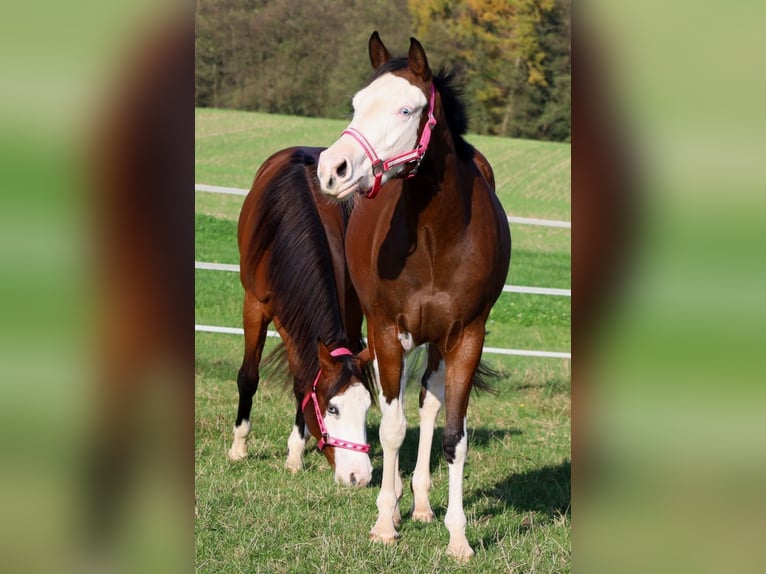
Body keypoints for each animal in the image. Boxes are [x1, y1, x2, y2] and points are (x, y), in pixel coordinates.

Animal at [230, 146, 376, 488]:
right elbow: (249, 377)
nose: (360, 477)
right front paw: (239, 446)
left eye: (366, 407)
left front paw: (295, 455)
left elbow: (303, 384)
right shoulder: (254, 305)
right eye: (332, 409)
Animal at [318, 33, 510, 560]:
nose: (331, 168)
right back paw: (402, 502)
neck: (435, 238)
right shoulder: (386, 330)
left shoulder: (466, 337)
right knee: (401, 406)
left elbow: (453, 435)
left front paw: (458, 537)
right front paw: (385, 522)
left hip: (435, 341)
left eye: (406, 109)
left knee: (427, 403)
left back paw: (423, 504)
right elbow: (390, 427)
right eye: (357, 103)